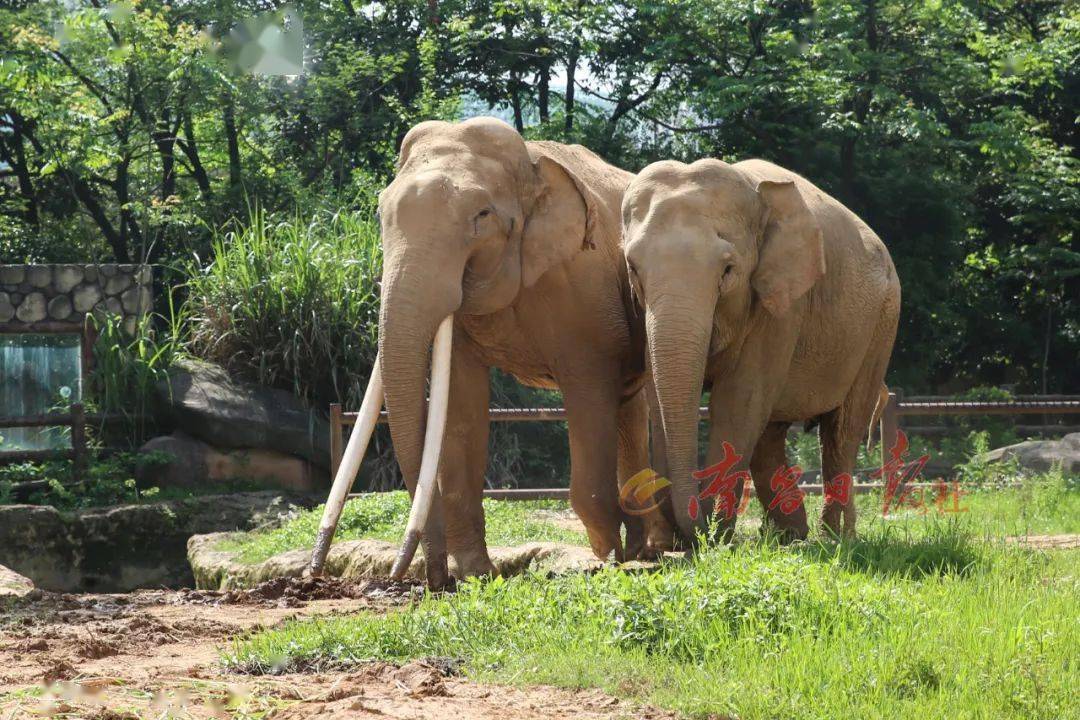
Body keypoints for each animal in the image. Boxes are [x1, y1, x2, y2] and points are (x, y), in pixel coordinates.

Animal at [308, 118, 669, 587]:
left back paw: (648, 549)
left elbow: (588, 391)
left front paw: (609, 559)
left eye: (482, 216)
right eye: (380, 213)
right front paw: (475, 575)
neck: (531, 167)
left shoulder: (584, 290)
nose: (425, 580)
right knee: (629, 403)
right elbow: (462, 408)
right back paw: (642, 546)